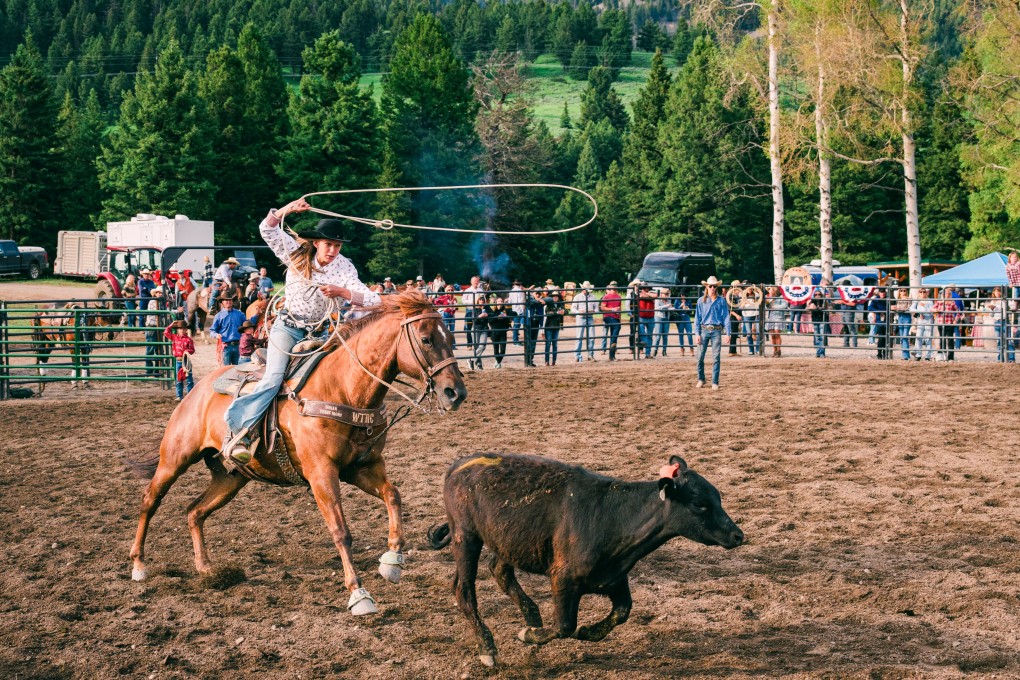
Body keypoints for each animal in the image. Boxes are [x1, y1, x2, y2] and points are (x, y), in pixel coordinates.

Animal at [427, 452, 744, 667]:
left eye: (718, 498)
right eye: (700, 504)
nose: (738, 535)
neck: (611, 517)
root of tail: (458, 466)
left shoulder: (615, 578)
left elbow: (622, 612)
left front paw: (586, 631)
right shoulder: (563, 580)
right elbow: (565, 625)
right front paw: (529, 635)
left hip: (506, 541)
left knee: (499, 570)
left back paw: (532, 617)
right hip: (466, 536)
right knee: (464, 590)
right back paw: (488, 649)